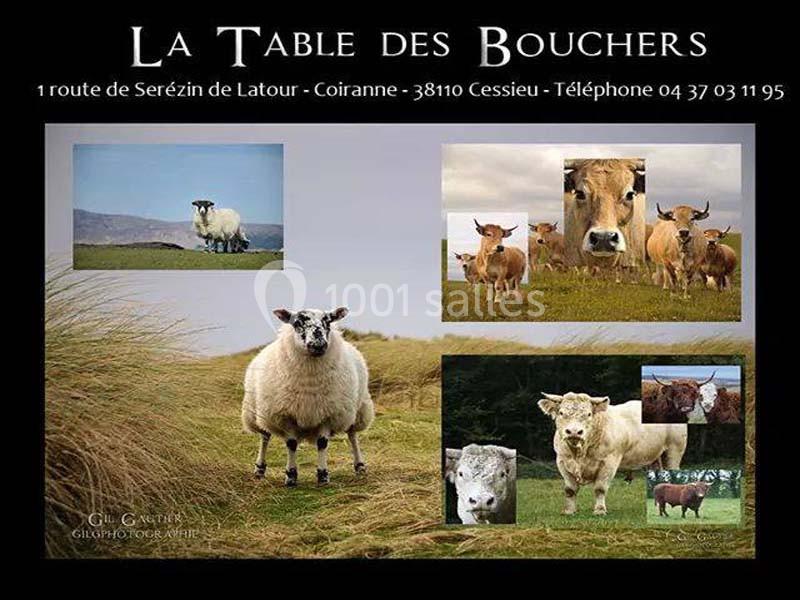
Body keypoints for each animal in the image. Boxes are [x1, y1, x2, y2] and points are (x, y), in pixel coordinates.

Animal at [241, 307, 374, 486]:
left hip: (356, 410)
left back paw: (359, 466)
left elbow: (322, 443)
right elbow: (291, 444)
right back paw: (259, 469)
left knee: (352, 435)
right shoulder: (286, 415)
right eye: (297, 322)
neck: (310, 383)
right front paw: (291, 476)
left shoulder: (327, 414)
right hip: (260, 413)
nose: (318, 344)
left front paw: (323, 476)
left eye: (328, 322)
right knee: (264, 437)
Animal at [537, 392, 687, 516]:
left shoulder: (609, 462)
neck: (580, 453)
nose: (574, 432)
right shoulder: (562, 461)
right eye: (561, 413)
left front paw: (599, 510)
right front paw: (569, 511)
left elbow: (600, 488)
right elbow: (570, 489)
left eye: (589, 414)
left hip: (674, 450)